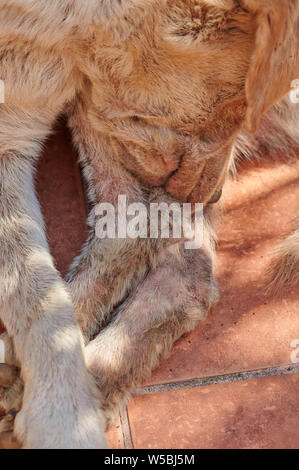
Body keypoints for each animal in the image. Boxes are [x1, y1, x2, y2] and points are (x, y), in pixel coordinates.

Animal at [0, 0, 298, 448]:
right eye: (226, 109)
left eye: (238, 114)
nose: (211, 197)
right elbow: (34, 292)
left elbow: (44, 300)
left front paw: (64, 420)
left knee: (146, 234)